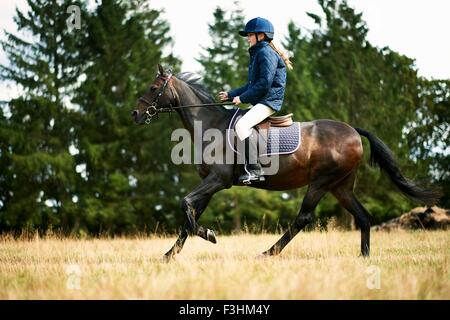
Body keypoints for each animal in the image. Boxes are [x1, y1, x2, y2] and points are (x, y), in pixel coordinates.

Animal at [132, 64, 442, 260]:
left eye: (153, 87)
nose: (135, 114)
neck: (210, 125)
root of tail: (353, 131)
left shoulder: (218, 181)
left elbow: (185, 205)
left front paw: (209, 235)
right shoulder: (208, 184)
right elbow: (189, 216)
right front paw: (169, 255)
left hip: (321, 182)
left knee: (303, 218)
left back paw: (268, 252)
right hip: (341, 186)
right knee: (363, 217)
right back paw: (364, 258)